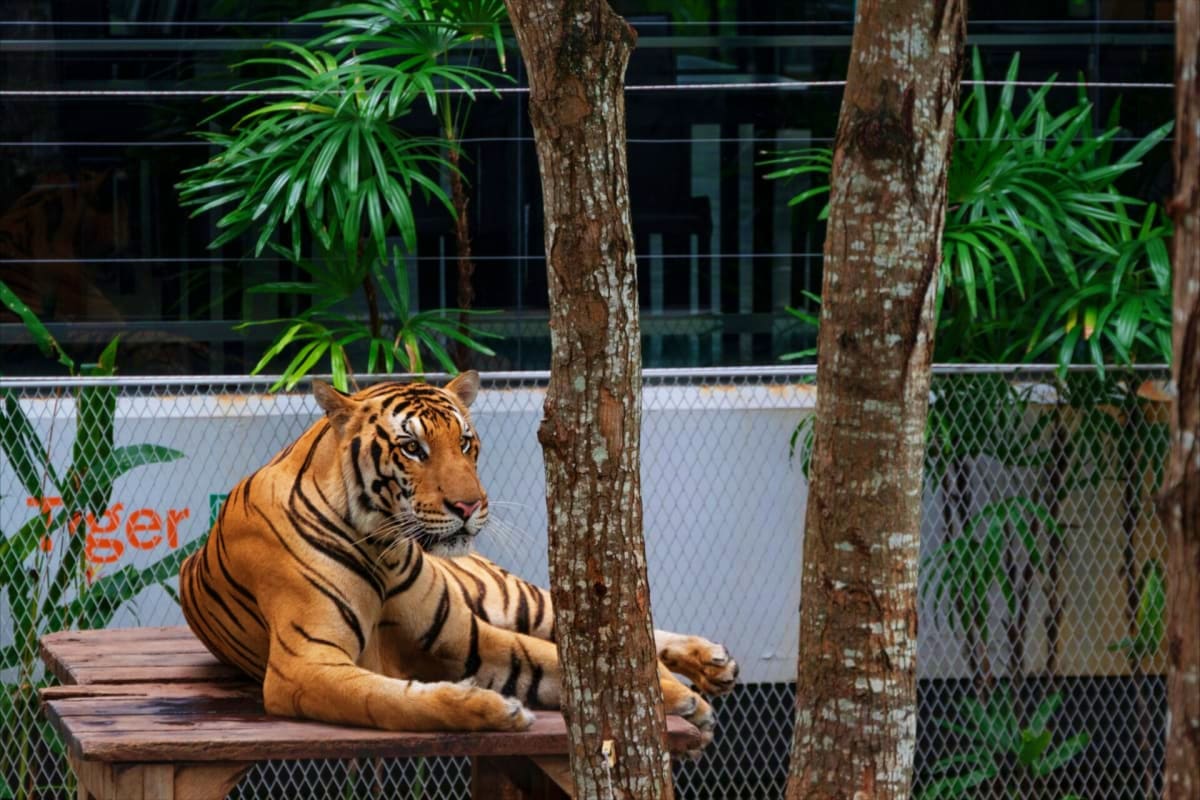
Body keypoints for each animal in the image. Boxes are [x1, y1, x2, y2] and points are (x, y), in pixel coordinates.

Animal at [179, 372, 737, 748]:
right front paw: (490, 709)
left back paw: (711, 661)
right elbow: (388, 699)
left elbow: (556, 661)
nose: (469, 506)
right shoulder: (304, 664)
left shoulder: (465, 634)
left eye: (466, 442)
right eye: (411, 448)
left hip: (512, 599)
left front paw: (676, 695)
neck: (383, 544)